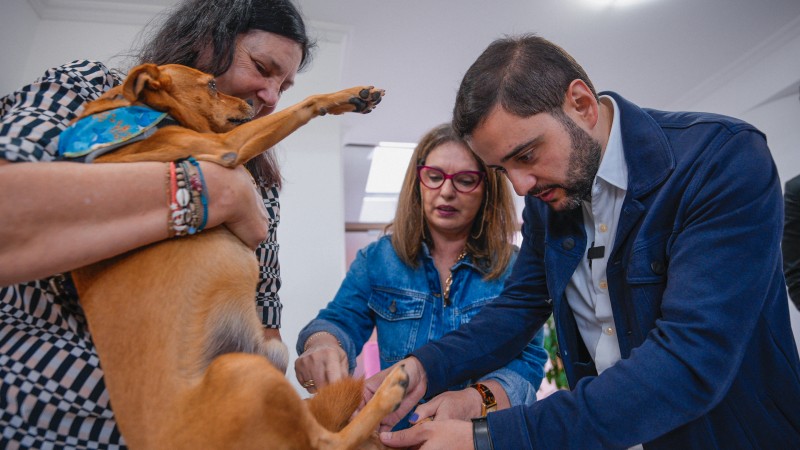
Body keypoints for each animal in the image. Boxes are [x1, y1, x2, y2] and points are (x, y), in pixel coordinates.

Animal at [64, 64, 406, 450]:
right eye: (212, 84)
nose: (250, 104)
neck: (140, 115)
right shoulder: (227, 146)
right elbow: (305, 103)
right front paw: (343, 96)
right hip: (245, 369)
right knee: (329, 442)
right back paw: (390, 392)